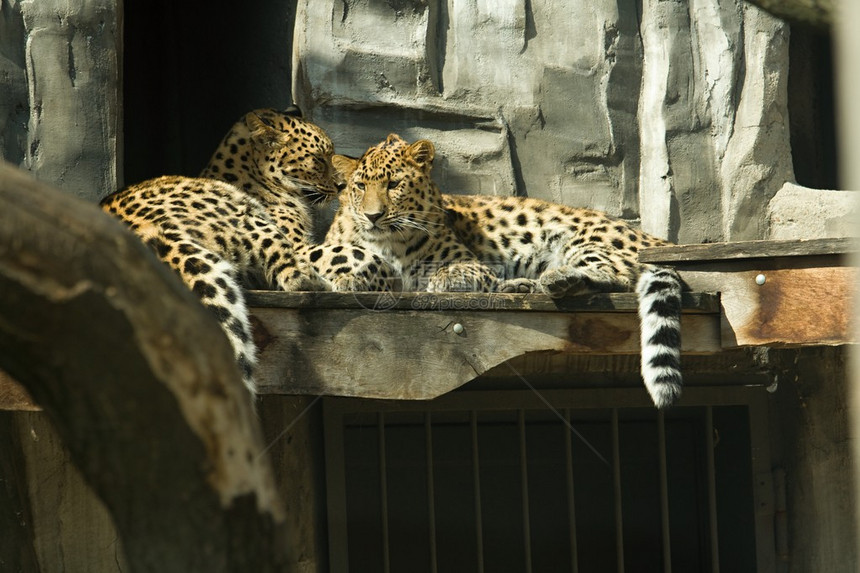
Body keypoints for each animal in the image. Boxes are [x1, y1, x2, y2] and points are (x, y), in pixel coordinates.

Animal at [102, 106, 394, 394]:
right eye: (318, 159)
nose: (342, 186)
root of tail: (145, 229)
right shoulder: (299, 245)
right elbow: (348, 252)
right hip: (252, 220)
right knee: (294, 276)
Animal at [330, 135, 684, 408]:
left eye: (394, 184)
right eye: (359, 186)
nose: (373, 216)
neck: (387, 241)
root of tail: (655, 238)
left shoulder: (471, 263)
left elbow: (442, 274)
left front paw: (434, 281)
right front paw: (352, 277)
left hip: (586, 239)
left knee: (614, 274)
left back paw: (556, 279)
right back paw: (524, 286)